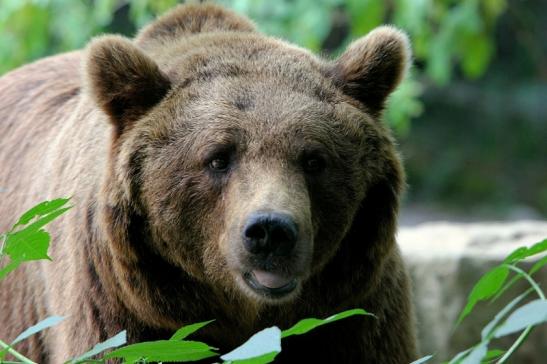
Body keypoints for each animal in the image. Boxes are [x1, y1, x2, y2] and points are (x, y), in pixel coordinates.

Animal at [0, 3, 418, 364]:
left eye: (314, 159)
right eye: (218, 158)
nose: (271, 231)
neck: (240, 315)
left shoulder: (353, 309)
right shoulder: (116, 304)